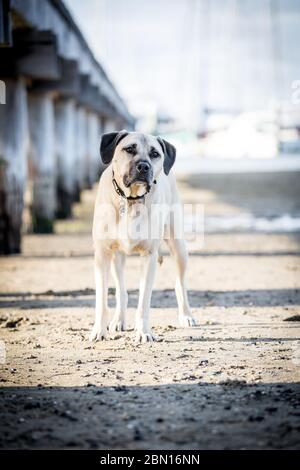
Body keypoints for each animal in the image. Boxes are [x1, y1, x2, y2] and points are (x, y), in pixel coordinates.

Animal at [90, 130, 196, 344]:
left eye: (155, 154)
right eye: (129, 149)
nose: (144, 166)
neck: (131, 200)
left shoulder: (149, 256)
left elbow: (143, 301)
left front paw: (143, 332)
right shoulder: (102, 255)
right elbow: (102, 300)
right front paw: (99, 330)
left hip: (179, 247)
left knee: (180, 284)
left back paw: (186, 315)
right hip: (117, 258)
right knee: (121, 291)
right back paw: (119, 320)